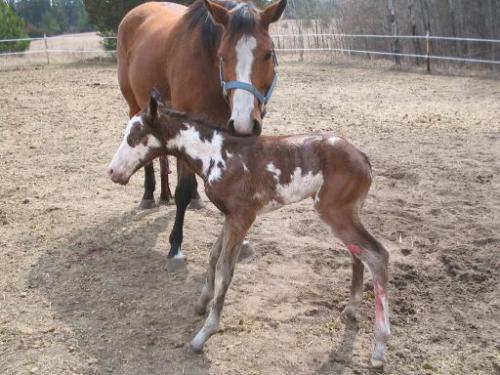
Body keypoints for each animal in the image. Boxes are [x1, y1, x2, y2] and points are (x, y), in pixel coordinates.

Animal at [107, 95, 392, 368]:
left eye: (133, 138)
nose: (112, 172)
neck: (216, 154)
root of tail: (362, 157)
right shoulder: (230, 216)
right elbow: (213, 256)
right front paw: (202, 303)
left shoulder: (243, 217)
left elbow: (225, 268)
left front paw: (204, 334)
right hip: (345, 215)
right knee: (359, 254)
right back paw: (351, 309)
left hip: (335, 213)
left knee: (378, 255)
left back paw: (379, 348)